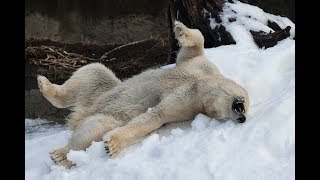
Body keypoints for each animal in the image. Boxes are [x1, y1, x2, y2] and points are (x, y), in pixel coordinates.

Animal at [37, 21, 250, 169]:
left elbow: (155, 117)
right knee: (93, 71)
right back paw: (45, 85)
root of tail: (82, 113)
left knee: (93, 128)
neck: (202, 85)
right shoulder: (199, 69)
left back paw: (62, 156)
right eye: (244, 107)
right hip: (101, 90)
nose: (243, 119)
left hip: (106, 115)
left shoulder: (189, 106)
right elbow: (195, 47)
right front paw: (180, 28)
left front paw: (112, 144)